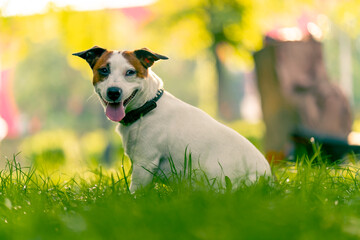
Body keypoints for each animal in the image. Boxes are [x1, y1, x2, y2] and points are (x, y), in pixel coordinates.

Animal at [73, 46, 270, 191]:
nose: (114, 92)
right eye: (103, 70)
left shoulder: (144, 164)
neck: (149, 106)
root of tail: (269, 179)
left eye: (130, 72)